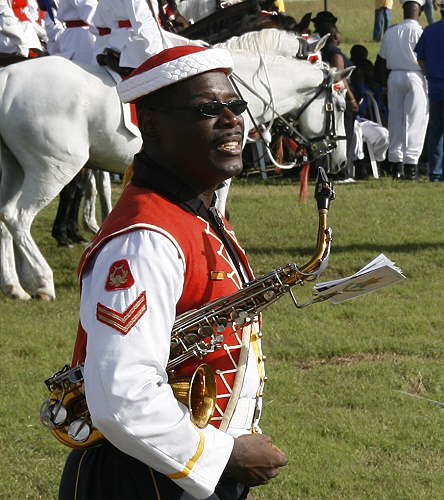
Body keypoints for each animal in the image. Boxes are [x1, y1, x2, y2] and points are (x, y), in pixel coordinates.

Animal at [0, 50, 348, 300]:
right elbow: (219, 210)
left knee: (4, 217)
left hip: (15, 169)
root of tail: (9, 76)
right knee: (18, 215)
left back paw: (15, 285)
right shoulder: (220, 178)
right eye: (341, 105)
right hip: (54, 166)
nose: (340, 161)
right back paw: (41, 281)